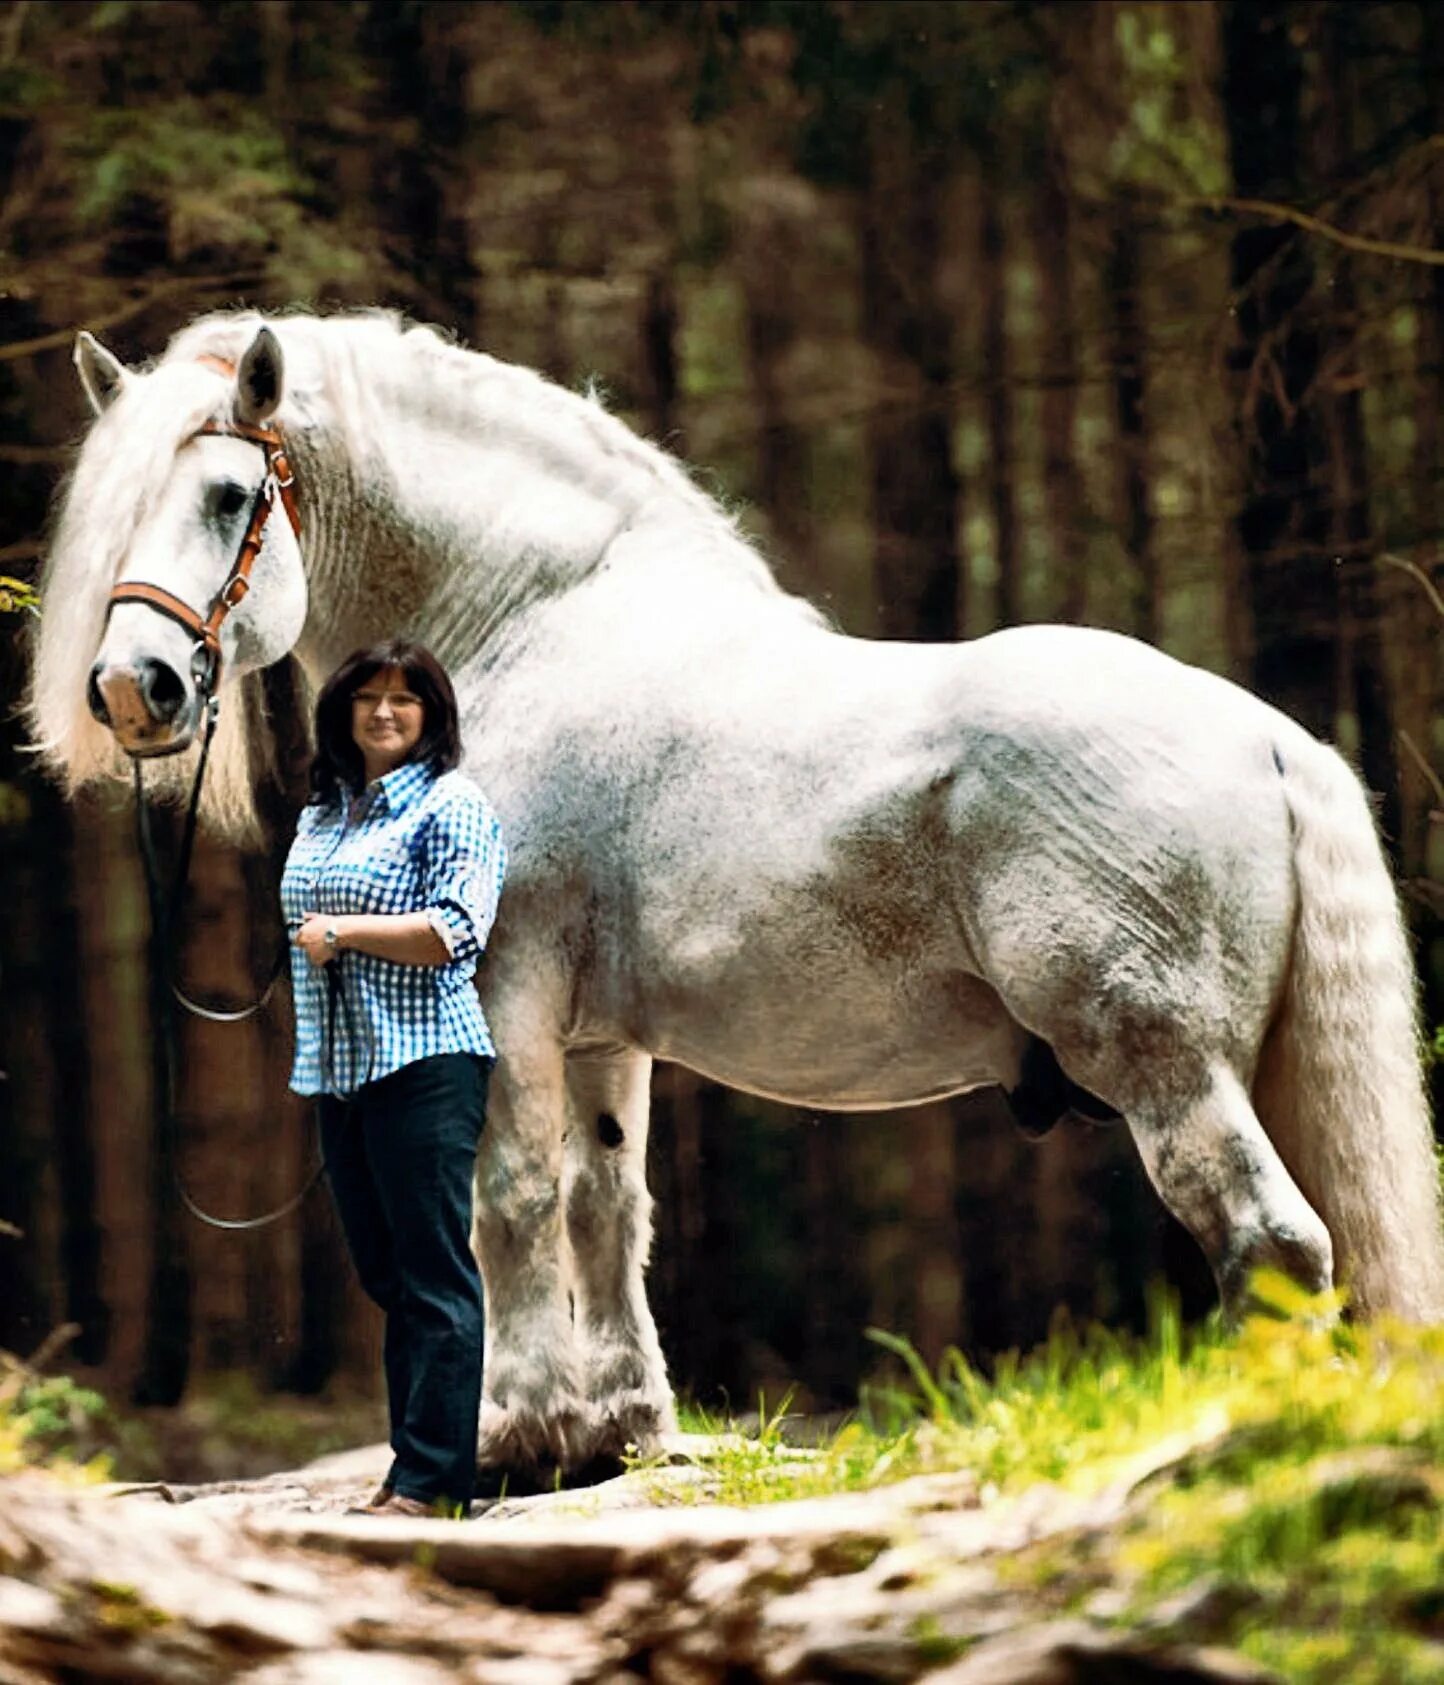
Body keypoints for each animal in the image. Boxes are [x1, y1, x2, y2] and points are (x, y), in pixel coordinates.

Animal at [28, 310, 1442, 1482]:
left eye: (226, 496)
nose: (134, 687)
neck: (533, 628)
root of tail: (1266, 734)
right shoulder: (602, 1038)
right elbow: (607, 1205)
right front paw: (619, 1426)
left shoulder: (505, 991)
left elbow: (511, 1201)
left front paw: (514, 1433)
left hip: (1164, 1065)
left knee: (1271, 1243)